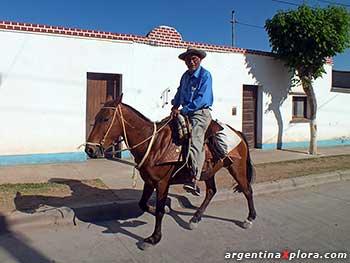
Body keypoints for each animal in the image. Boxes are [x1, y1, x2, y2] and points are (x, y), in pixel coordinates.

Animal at [85, 94, 254, 250]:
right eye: (97, 118)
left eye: (106, 119)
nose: (90, 149)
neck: (153, 143)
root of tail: (238, 132)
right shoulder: (149, 181)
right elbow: (143, 204)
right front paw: (161, 211)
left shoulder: (162, 183)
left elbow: (159, 211)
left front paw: (154, 238)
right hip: (209, 172)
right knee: (212, 191)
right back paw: (195, 219)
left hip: (236, 168)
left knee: (247, 190)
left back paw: (249, 219)